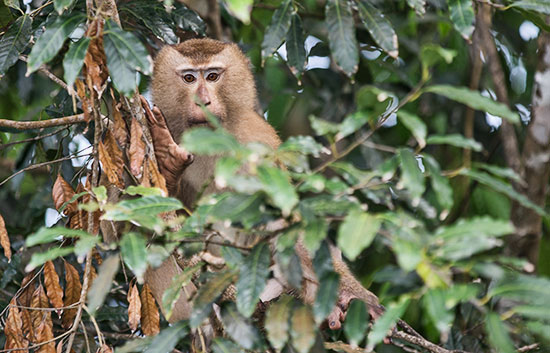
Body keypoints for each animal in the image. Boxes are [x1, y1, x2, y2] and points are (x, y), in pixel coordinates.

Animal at [142, 38, 386, 332]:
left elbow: (283, 222)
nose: (203, 101)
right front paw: (168, 165)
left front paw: (352, 293)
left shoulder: (258, 142)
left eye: (212, 76)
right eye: (189, 78)